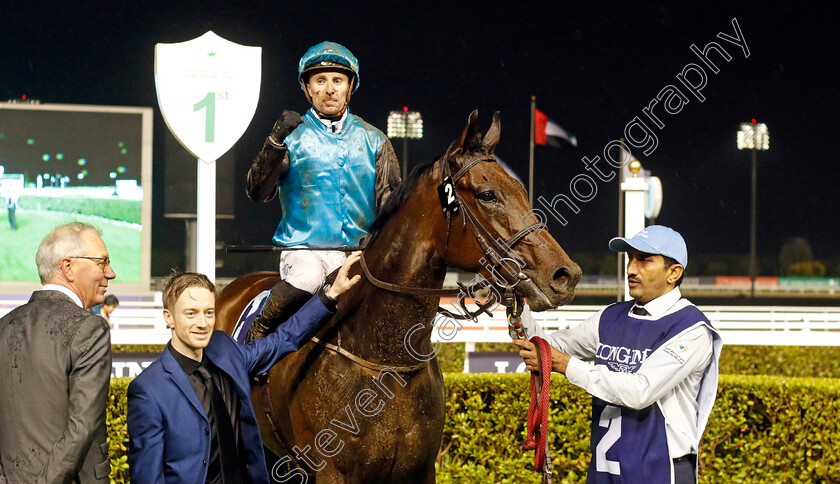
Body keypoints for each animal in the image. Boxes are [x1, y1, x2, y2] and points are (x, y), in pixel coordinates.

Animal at [217, 111, 580, 482]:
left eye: (522, 190)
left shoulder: (420, 468)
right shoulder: (331, 470)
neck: (384, 358)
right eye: (487, 194)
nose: (565, 275)